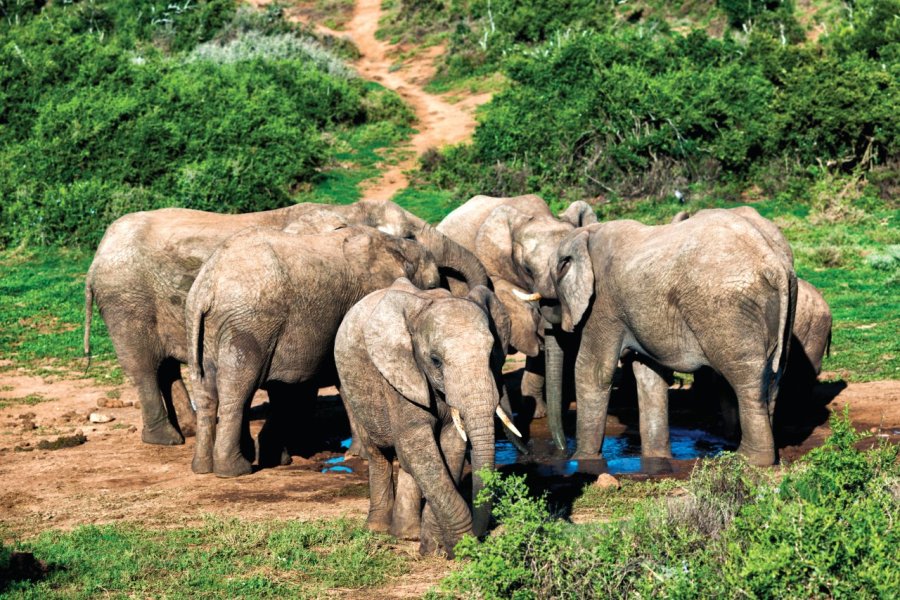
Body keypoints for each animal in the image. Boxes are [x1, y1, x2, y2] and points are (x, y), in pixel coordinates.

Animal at [186, 225, 442, 478]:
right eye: (431, 287)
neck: (395, 244)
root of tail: (207, 284)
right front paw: (361, 454)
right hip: (248, 323)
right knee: (237, 387)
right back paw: (234, 471)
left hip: (204, 327)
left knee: (207, 390)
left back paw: (204, 467)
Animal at [332, 278, 516, 556]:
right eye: (436, 360)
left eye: (493, 353)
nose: (478, 535)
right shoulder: (399, 375)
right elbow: (417, 444)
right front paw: (459, 546)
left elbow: (450, 447)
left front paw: (436, 548)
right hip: (353, 389)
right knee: (379, 454)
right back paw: (378, 529)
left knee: (408, 464)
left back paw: (407, 534)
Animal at [548, 209, 796, 466]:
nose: (562, 452)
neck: (587, 233)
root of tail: (773, 263)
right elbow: (650, 374)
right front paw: (657, 459)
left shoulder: (603, 304)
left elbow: (594, 372)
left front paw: (582, 461)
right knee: (774, 375)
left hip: (728, 309)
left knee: (746, 378)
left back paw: (746, 459)